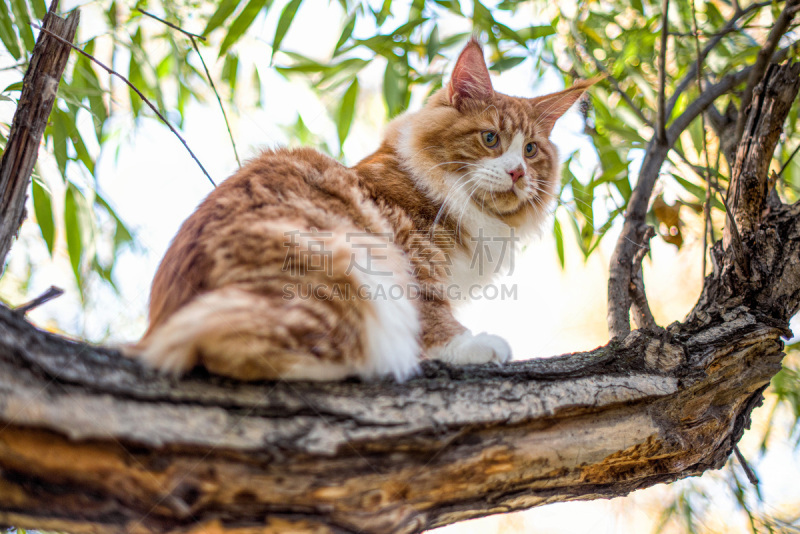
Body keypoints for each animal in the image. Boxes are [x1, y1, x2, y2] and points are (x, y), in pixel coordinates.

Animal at [131, 38, 592, 382]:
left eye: (530, 150)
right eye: (491, 138)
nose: (517, 172)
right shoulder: (409, 249)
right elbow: (432, 314)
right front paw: (469, 345)